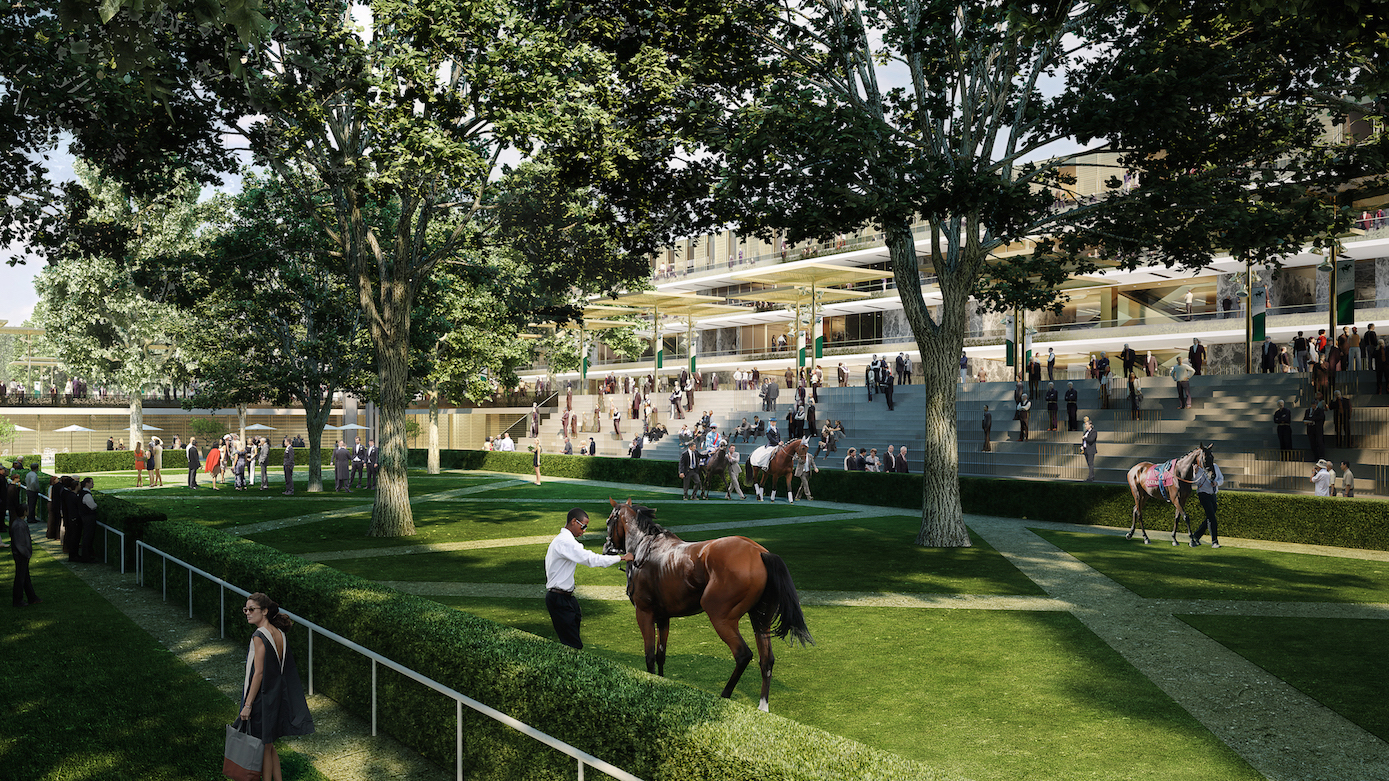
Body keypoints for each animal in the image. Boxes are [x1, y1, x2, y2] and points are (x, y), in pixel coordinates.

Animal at [600, 494, 811, 708]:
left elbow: (650, 656)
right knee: (767, 660)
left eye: (608, 521)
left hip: (720, 616)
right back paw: (762, 707)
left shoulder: (644, 612)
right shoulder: (663, 616)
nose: (606, 547)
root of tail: (759, 552)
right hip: (760, 618)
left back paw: (724, 695)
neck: (645, 548)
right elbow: (661, 655)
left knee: (743, 654)